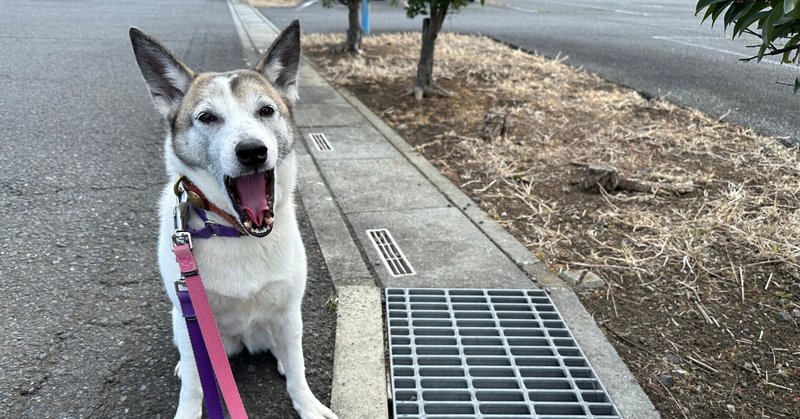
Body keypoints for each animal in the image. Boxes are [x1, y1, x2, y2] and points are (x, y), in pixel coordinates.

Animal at [127, 20, 338, 419]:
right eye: (207, 117)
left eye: (266, 111)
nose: (253, 151)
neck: (238, 232)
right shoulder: (192, 319)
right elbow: (195, 385)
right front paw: (189, 407)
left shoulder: (289, 312)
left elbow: (299, 372)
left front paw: (307, 404)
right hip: (188, 324)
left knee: (286, 351)